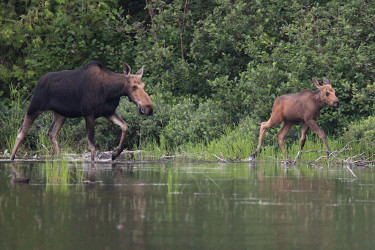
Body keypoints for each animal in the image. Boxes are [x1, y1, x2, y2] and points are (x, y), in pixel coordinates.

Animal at [10, 61, 154, 161]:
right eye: (134, 86)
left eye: (144, 85)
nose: (149, 107)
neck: (111, 92)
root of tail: (38, 82)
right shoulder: (88, 114)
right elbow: (92, 146)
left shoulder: (108, 112)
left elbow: (124, 125)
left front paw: (115, 153)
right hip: (35, 106)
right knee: (21, 132)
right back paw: (11, 158)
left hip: (60, 114)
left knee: (51, 133)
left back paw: (60, 158)